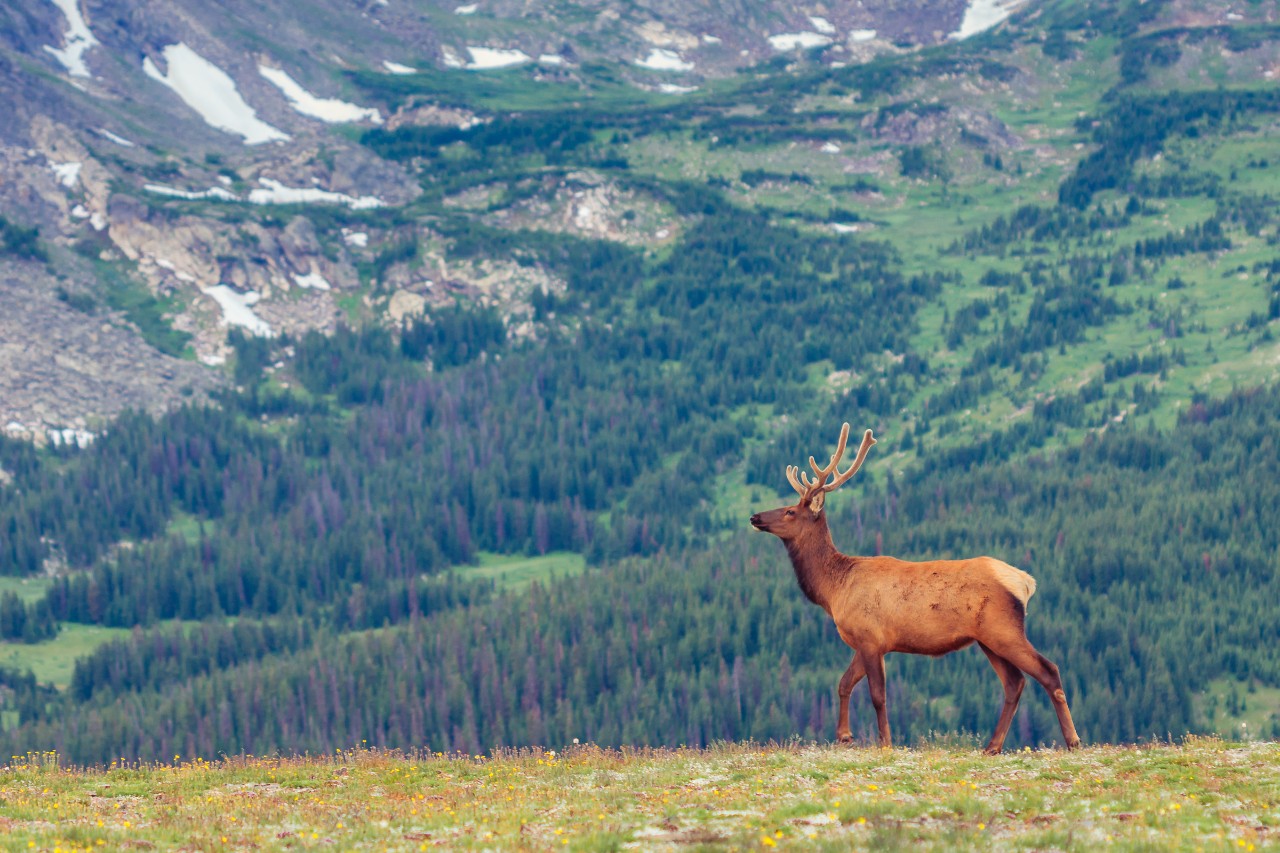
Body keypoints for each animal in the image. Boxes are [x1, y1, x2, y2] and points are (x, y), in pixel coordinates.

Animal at [747, 422, 1080, 753]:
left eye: (790, 511)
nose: (754, 516)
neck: (833, 590)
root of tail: (1026, 582)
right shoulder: (865, 641)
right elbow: (843, 683)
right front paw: (844, 736)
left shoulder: (871, 637)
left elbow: (877, 696)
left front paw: (885, 742)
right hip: (987, 638)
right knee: (1014, 682)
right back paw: (992, 746)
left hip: (1004, 629)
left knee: (1048, 670)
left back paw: (1072, 740)